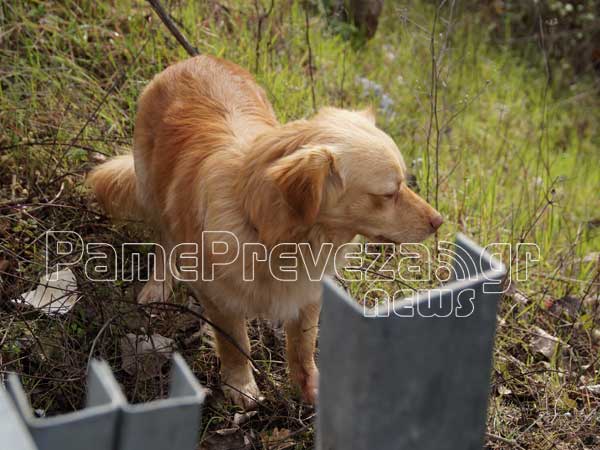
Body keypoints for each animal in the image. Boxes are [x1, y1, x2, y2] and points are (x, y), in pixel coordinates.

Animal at [90, 55, 446, 408]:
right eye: (389, 193)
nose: (439, 221)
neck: (277, 237)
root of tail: (198, 58)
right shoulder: (220, 300)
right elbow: (236, 345)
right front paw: (241, 385)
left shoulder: (308, 296)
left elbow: (303, 348)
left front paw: (312, 390)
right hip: (151, 187)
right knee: (164, 241)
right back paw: (157, 285)